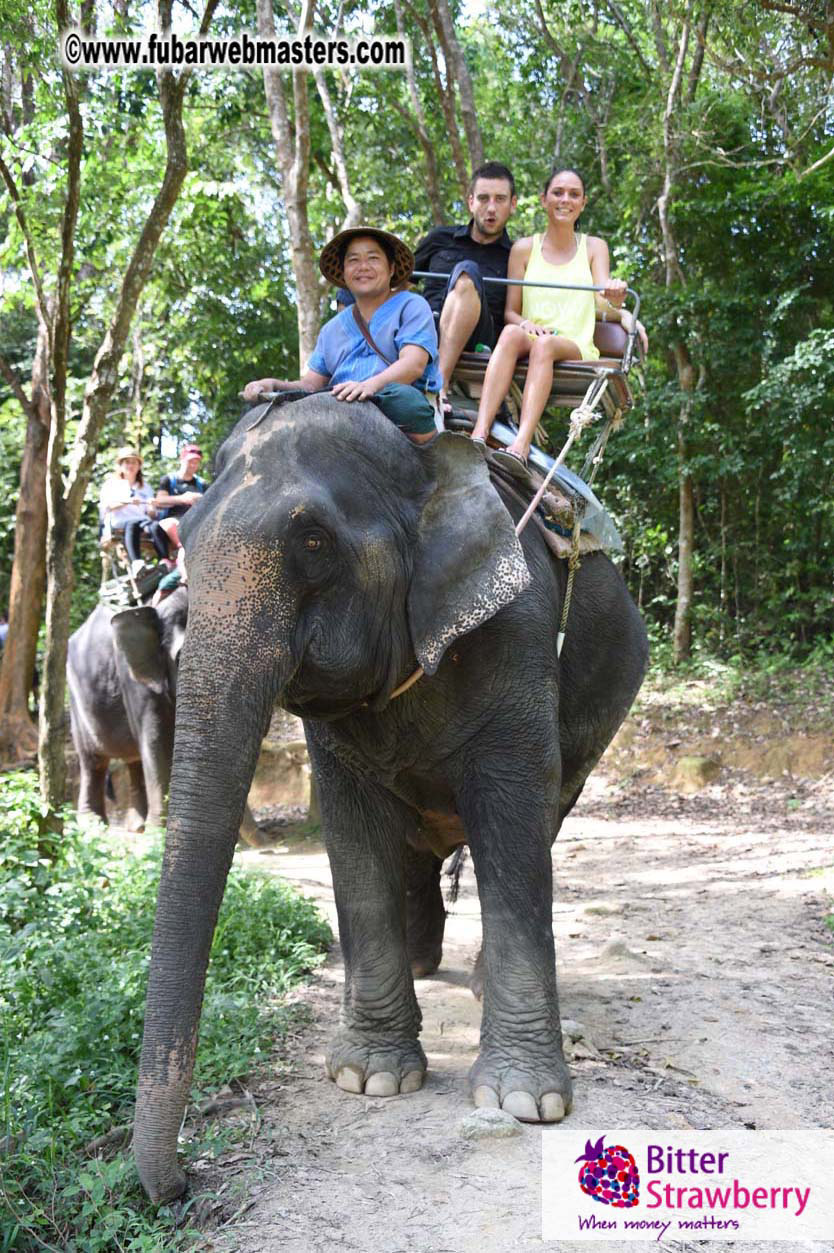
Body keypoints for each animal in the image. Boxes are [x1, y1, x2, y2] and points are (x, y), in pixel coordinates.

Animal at [67, 586, 261, 842]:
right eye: (182, 658)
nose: (269, 844)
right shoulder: (133, 678)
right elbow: (155, 741)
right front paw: (158, 832)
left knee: (133, 760)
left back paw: (136, 826)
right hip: (75, 697)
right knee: (93, 761)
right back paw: (94, 825)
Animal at [133, 394, 648, 1204]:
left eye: (313, 540)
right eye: (185, 541)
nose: (180, 1185)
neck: (422, 467)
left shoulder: (520, 629)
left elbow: (511, 815)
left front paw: (525, 1102)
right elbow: (354, 836)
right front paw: (370, 1079)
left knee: (546, 815)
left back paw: (473, 981)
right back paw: (421, 960)